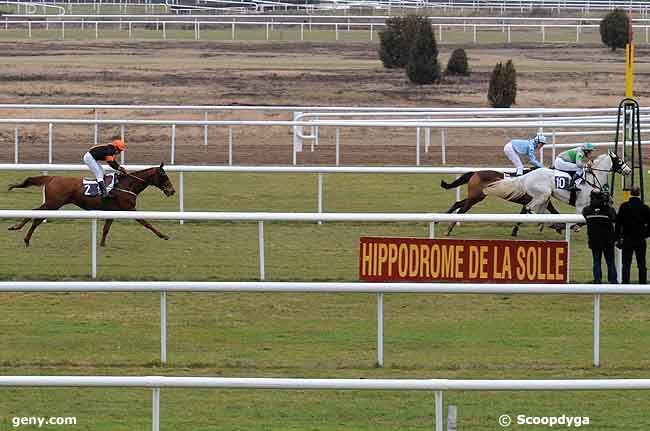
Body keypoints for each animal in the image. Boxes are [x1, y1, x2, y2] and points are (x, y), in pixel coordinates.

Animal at [8, 164, 175, 248]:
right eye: (164, 175)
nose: (172, 191)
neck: (127, 184)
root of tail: (52, 178)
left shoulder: (114, 210)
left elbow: (106, 228)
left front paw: (102, 244)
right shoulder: (129, 209)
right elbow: (146, 222)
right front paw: (163, 235)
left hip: (52, 203)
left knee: (36, 214)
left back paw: (21, 231)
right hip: (53, 203)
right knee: (36, 215)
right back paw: (21, 233)